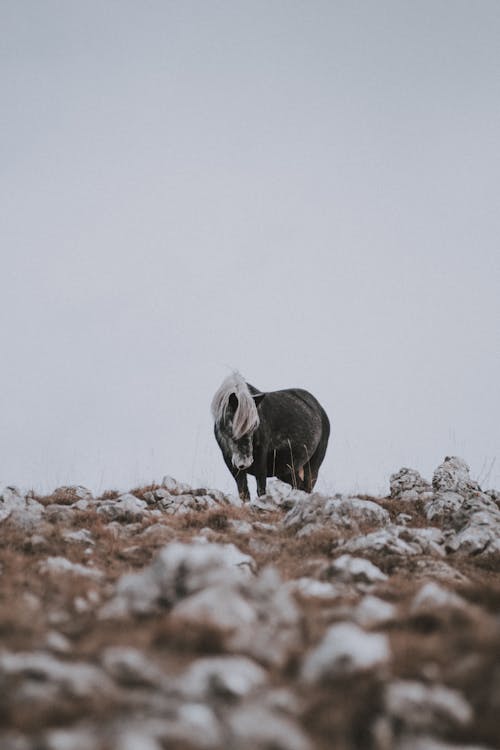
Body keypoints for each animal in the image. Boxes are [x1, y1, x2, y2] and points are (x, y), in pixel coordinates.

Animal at [212, 374, 332, 502]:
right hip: (287, 470)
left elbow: (261, 489)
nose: (244, 462)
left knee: (307, 487)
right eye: (231, 426)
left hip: (312, 467)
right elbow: (243, 492)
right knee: (299, 486)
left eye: (254, 425)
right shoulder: (231, 463)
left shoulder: (260, 460)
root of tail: (320, 409)